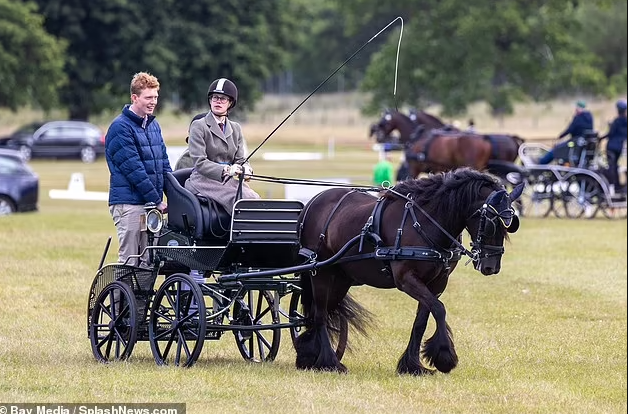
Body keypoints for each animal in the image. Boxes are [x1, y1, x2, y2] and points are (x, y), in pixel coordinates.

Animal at [296, 168, 524, 376]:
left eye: (511, 223)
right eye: (491, 222)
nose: (491, 266)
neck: (426, 221)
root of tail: (312, 202)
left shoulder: (437, 282)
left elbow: (422, 320)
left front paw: (412, 365)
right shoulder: (406, 279)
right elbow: (439, 309)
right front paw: (444, 357)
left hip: (341, 279)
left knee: (320, 312)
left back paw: (308, 354)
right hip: (321, 273)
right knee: (320, 314)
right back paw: (329, 362)